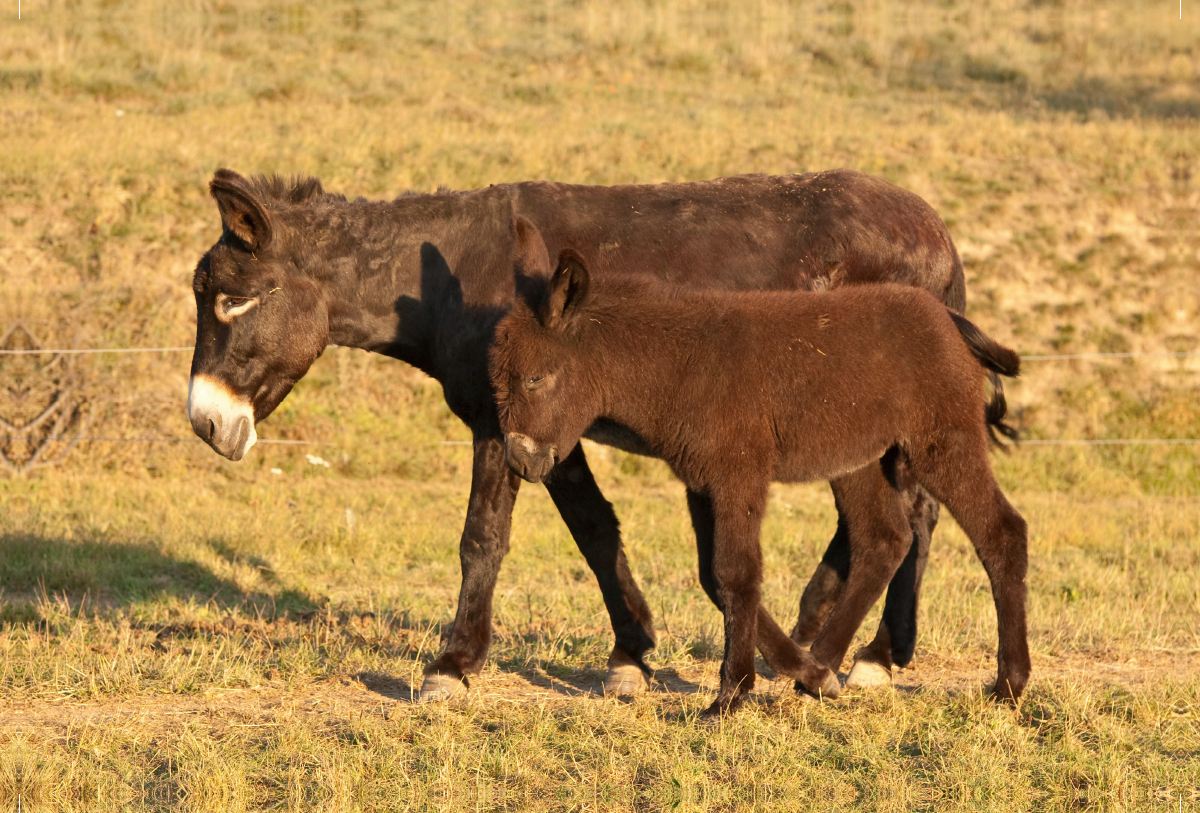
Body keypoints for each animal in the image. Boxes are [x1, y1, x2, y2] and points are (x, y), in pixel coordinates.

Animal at [492, 218, 1027, 719]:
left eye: (535, 379)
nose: (521, 460)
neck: (680, 364)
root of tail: (947, 317)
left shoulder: (738, 473)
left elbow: (736, 572)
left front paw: (729, 696)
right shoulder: (701, 482)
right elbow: (712, 577)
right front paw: (801, 672)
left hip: (942, 442)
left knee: (1000, 530)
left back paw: (1010, 685)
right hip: (860, 457)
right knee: (885, 540)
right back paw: (822, 669)